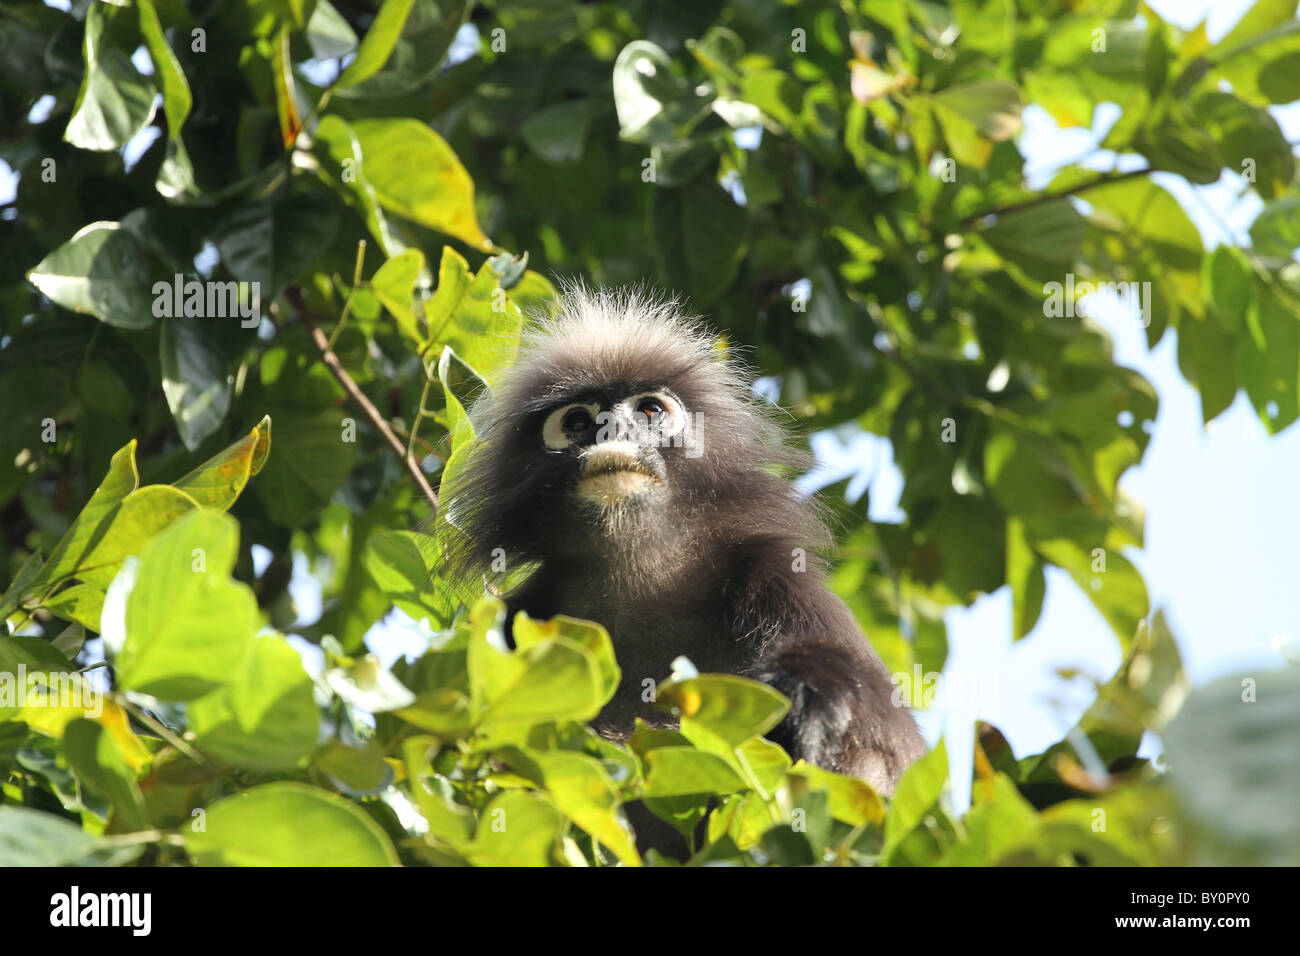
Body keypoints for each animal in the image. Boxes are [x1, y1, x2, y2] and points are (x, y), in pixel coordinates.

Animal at [444, 286, 926, 805]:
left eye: (650, 411)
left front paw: (807, 690)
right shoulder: (515, 617)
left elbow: (895, 748)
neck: (641, 572)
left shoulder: (778, 579)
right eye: (576, 422)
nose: (613, 430)